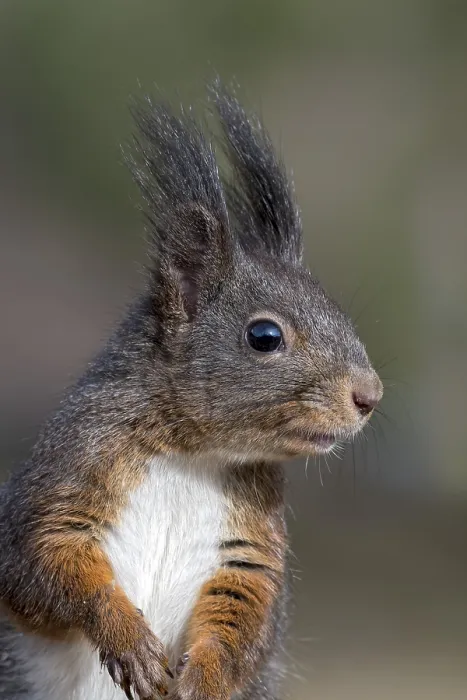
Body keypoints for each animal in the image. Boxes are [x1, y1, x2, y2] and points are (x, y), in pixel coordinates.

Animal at [0, 82, 382, 700]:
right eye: (264, 336)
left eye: (339, 312)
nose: (370, 396)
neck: (191, 452)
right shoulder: (67, 475)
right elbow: (47, 563)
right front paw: (128, 638)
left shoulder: (249, 553)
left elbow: (241, 617)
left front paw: (204, 677)